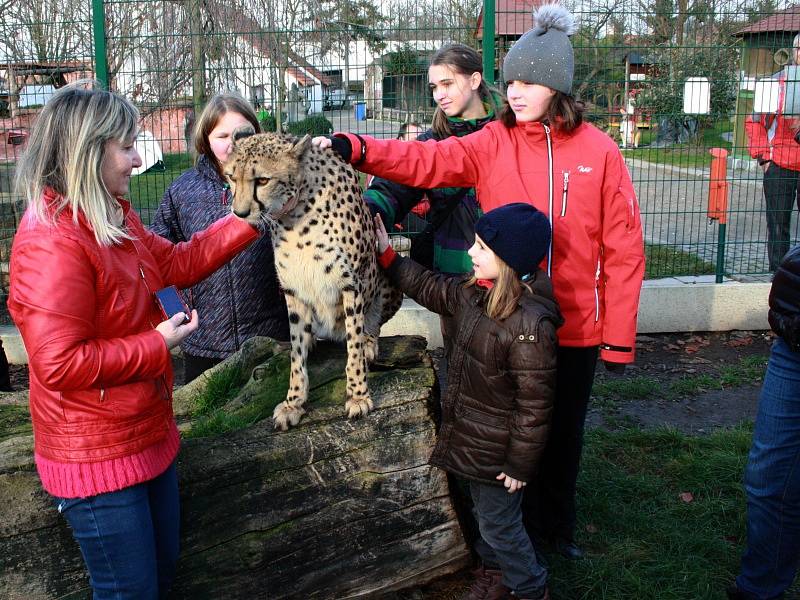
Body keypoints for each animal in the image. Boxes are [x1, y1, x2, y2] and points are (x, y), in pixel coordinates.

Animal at [225, 132, 404, 432]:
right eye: (230, 177)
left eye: (262, 180)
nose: (240, 213)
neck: (296, 218)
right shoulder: (293, 290)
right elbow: (297, 355)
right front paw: (293, 402)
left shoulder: (351, 285)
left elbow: (353, 346)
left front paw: (358, 395)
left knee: (371, 324)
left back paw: (369, 339)